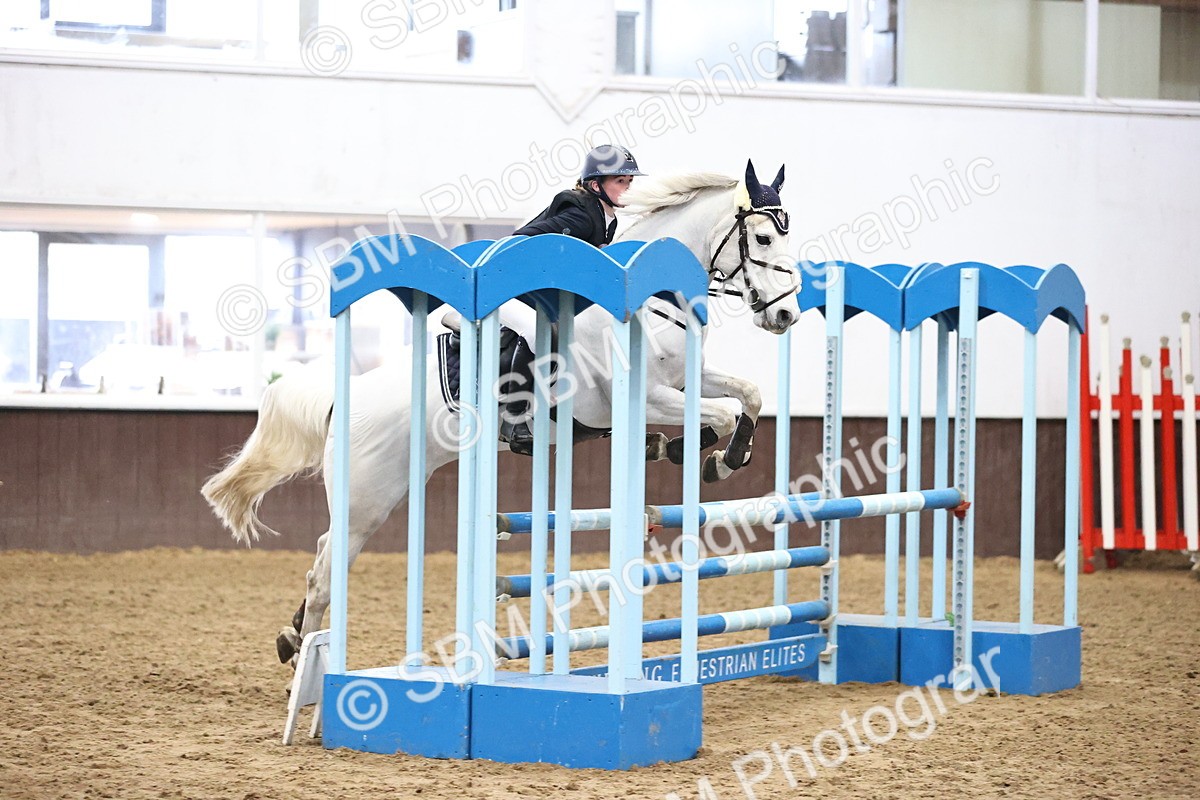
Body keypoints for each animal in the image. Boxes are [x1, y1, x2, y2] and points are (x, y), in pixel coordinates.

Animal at [201, 159, 801, 665]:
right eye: (763, 238)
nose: (787, 315)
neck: (653, 298)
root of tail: (344, 400)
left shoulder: (679, 382)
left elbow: (747, 395)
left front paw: (698, 451)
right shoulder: (647, 394)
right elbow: (719, 416)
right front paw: (713, 458)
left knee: (325, 556)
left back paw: (293, 635)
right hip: (366, 497)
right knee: (326, 568)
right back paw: (306, 659)